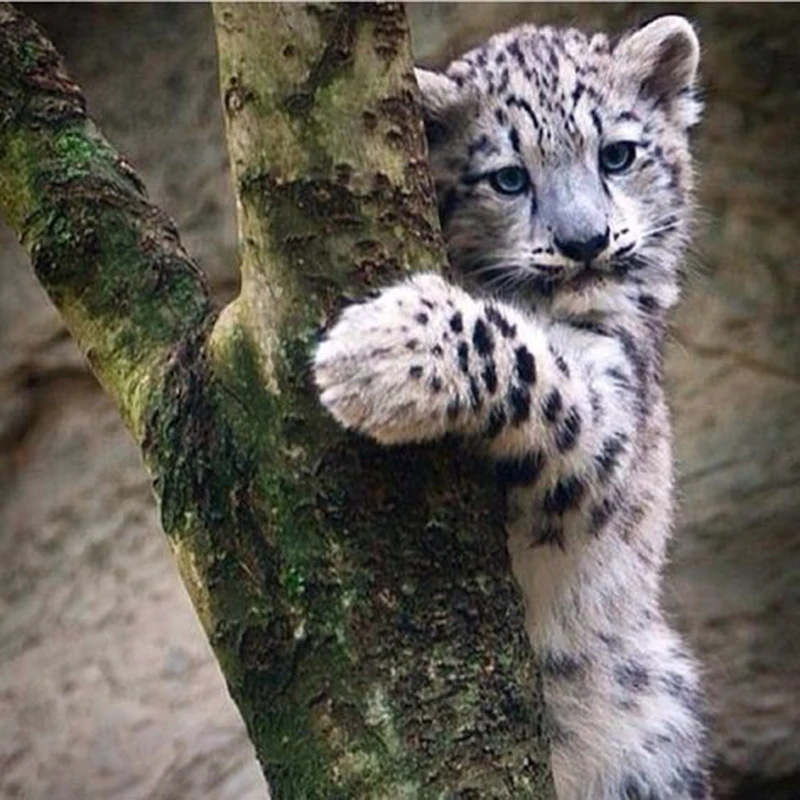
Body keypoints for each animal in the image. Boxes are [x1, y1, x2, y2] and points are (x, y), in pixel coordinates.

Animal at [314, 15, 710, 800]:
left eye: (617, 154)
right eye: (508, 177)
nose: (585, 242)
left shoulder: (609, 414)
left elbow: (531, 362)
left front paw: (373, 354)